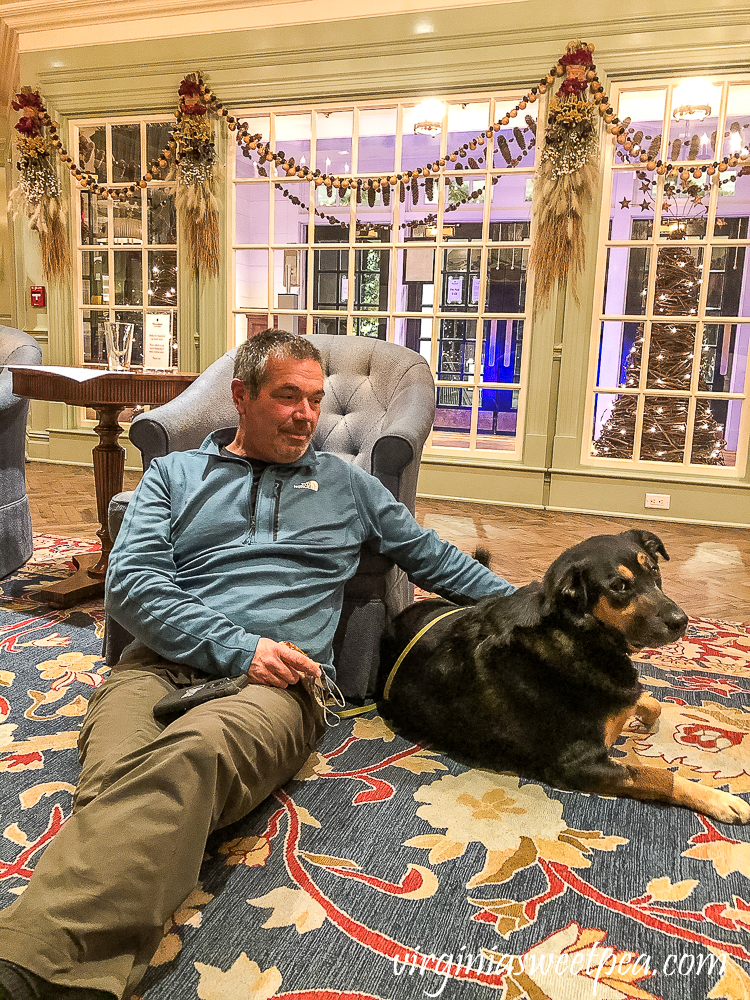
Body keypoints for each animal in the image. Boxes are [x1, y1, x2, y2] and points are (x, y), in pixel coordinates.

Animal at [378, 528, 750, 824]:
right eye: (619, 586)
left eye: (654, 570)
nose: (681, 621)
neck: (581, 636)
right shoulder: (578, 764)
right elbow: (657, 775)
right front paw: (722, 800)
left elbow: (650, 702)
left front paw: (640, 720)